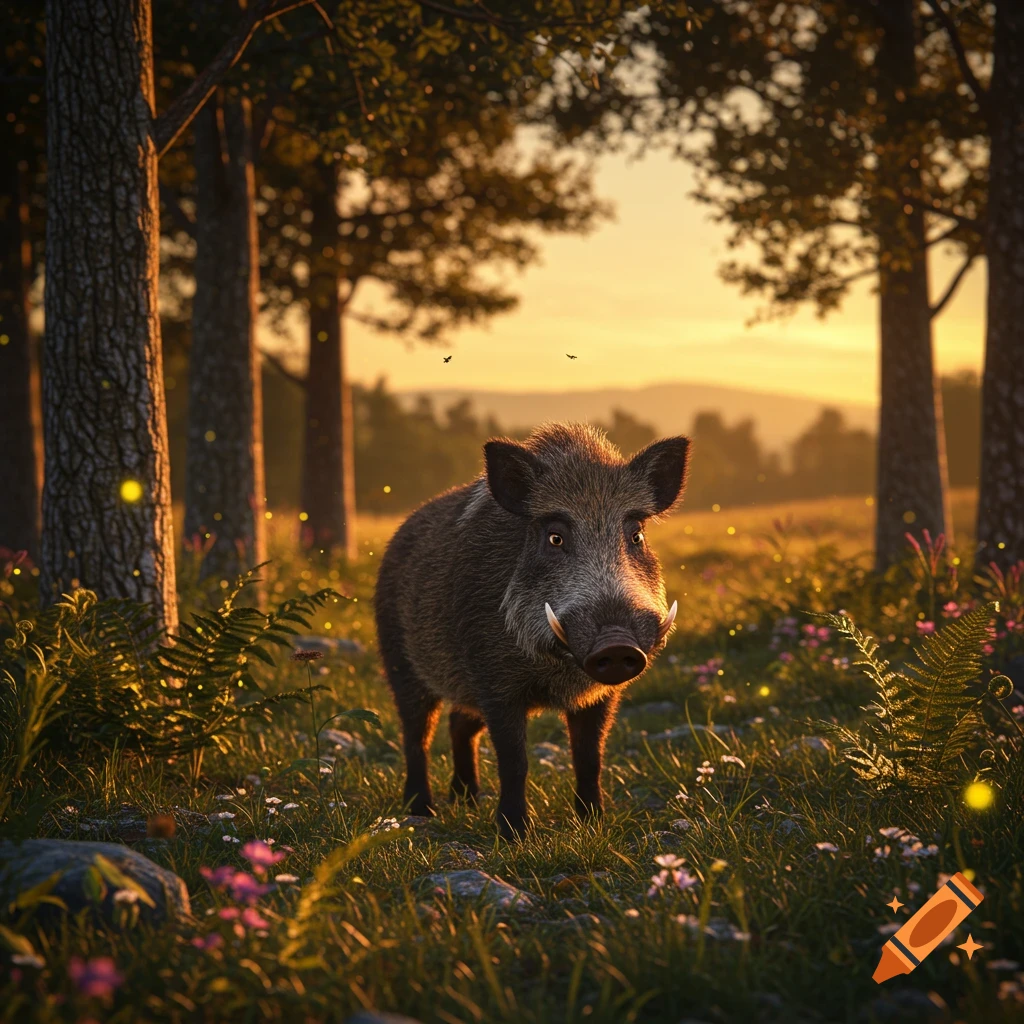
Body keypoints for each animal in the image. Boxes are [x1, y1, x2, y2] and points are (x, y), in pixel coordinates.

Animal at [373, 421, 689, 838]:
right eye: (555, 536)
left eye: (636, 535)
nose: (616, 643)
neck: (557, 669)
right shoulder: (494, 680)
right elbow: (514, 760)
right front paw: (514, 835)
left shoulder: (601, 694)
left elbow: (589, 756)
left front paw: (595, 824)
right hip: (401, 663)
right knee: (416, 734)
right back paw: (422, 811)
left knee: (459, 723)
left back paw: (466, 800)